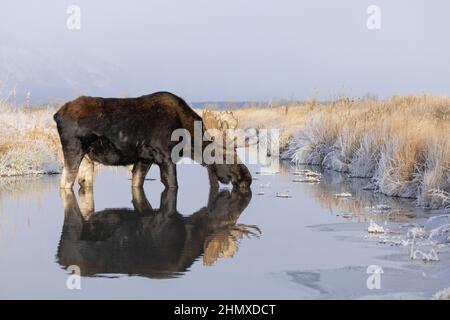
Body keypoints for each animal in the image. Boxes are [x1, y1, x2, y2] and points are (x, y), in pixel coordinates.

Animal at [54, 92, 251, 192]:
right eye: (226, 157)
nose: (247, 179)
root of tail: (57, 114)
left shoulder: (144, 159)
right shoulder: (165, 157)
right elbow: (173, 184)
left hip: (87, 159)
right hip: (73, 150)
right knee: (64, 183)